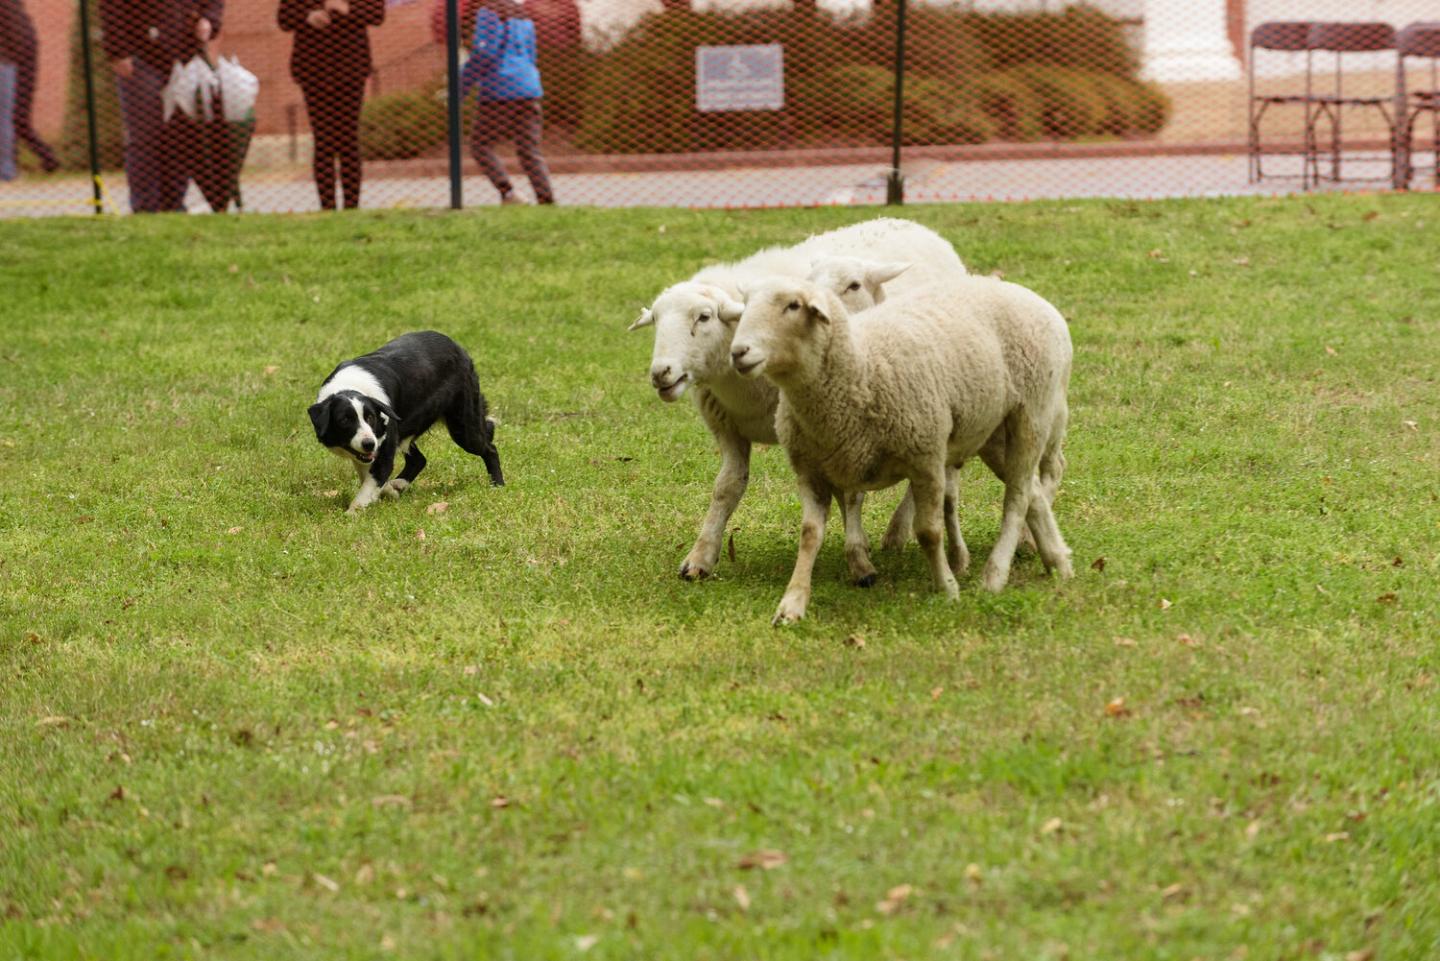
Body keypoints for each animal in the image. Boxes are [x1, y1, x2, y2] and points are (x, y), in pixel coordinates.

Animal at [628, 218, 968, 582]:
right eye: (656, 321)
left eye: (703, 317)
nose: (661, 373)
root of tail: (915, 225)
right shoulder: (729, 428)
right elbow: (726, 488)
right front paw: (700, 556)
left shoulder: (839, 427)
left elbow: (849, 493)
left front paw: (859, 560)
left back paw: (898, 532)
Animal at [729, 273, 1074, 624]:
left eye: (793, 306)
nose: (738, 352)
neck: (859, 367)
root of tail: (1023, 292)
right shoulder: (810, 471)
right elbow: (810, 535)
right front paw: (792, 603)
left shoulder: (926, 457)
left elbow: (928, 531)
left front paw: (947, 588)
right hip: (992, 431)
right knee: (1032, 490)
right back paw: (1058, 560)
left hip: (1032, 412)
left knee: (1017, 497)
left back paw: (995, 574)